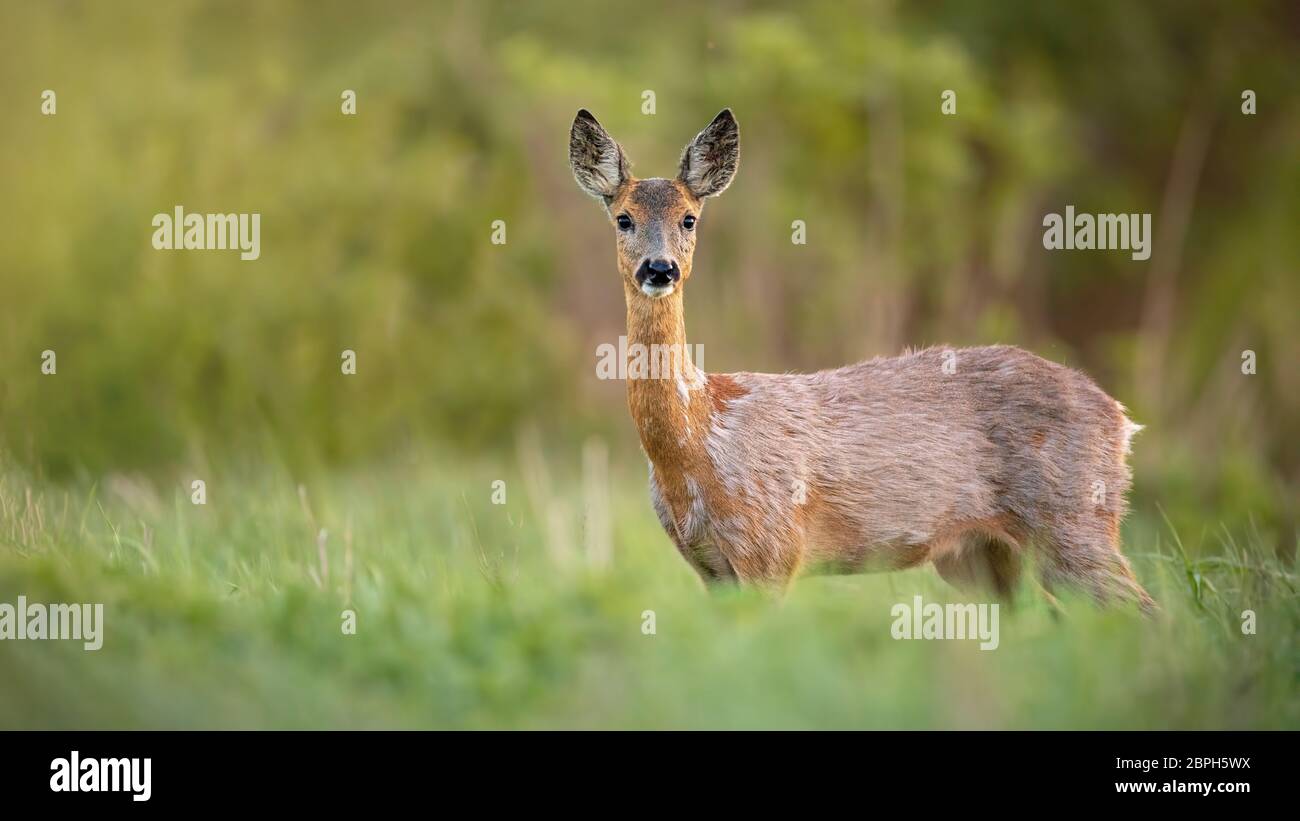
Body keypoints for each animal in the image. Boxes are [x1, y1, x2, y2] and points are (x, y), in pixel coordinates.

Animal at [569, 107, 1159, 610]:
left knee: (1143, 609)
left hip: (1073, 516)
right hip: (982, 556)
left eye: (690, 219)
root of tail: (1120, 419)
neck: (698, 436)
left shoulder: (770, 550)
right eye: (623, 218)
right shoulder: (711, 570)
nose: (659, 268)